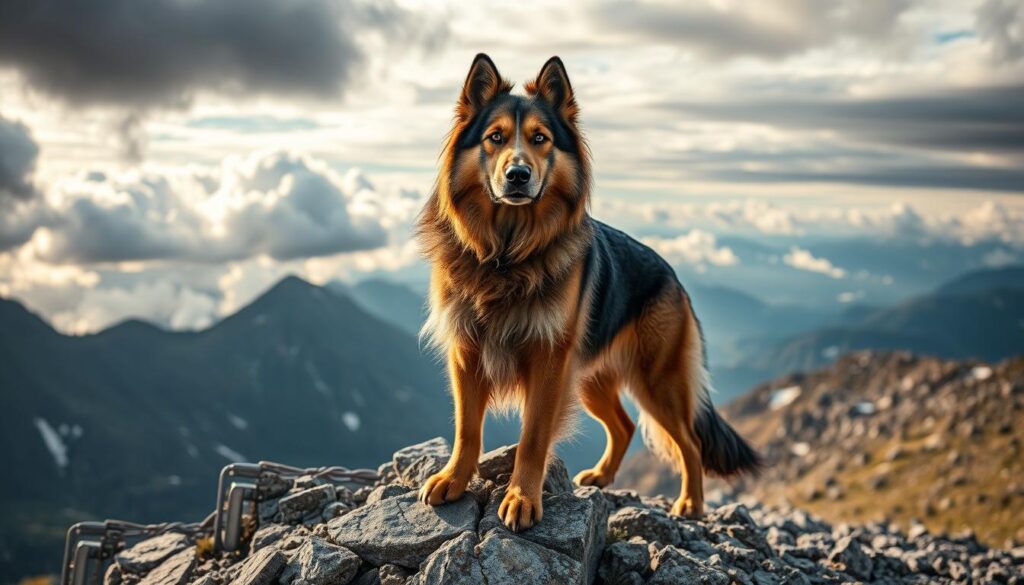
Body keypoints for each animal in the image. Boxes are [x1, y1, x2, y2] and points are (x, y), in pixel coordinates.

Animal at [415, 53, 761, 532]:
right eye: (495, 138)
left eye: (540, 139)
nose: (518, 175)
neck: (507, 253)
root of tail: (673, 277)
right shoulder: (467, 351)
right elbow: (467, 428)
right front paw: (455, 479)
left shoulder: (548, 360)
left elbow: (533, 436)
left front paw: (522, 497)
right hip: (590, 378)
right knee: (625, 426)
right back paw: (602, 475)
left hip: (657, 381)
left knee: (689, 443)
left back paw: (690, 503)